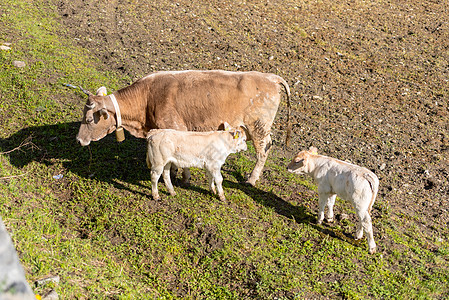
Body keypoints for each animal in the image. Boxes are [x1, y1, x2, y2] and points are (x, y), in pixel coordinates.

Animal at [76, 69, 290, 185]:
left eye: (89, 120)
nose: (78, 140)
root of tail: (270, 77)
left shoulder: (175, 127)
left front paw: (181, 177)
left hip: (258, 127)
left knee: (263, 151)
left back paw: (252, 179)